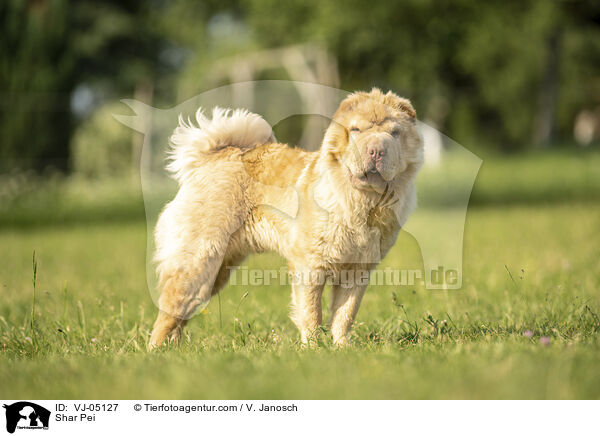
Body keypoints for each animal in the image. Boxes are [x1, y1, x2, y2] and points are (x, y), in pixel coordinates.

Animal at [148, 87, 424, 348]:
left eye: (395, 133)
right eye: (356, 130)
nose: (376, 150)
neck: (364, 202)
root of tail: (213, 157)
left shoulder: (357, 271)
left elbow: (345, 314)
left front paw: (342, 347)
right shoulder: (310, 266)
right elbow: (312, 313)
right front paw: (314, 349)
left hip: (218, 271)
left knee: (180, 316)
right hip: (199, 261)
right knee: (168, 313)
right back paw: (157, 352)